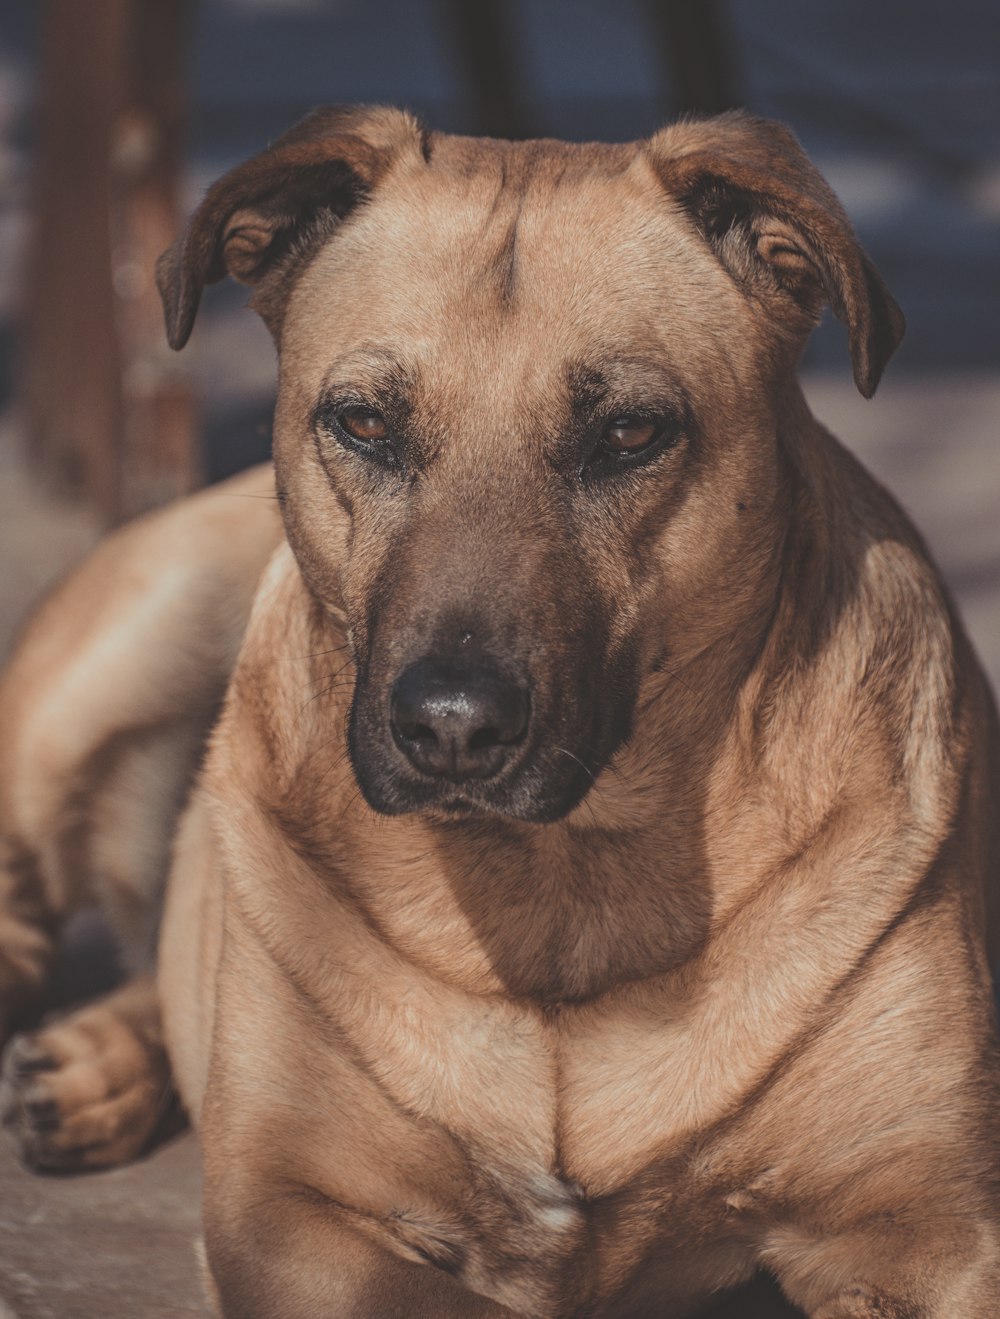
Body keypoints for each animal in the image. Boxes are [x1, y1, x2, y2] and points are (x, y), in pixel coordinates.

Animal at [1, 105, 1000, 1319]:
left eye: (629, 434)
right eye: (363, 422)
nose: (451, 727)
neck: (559, 888)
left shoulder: (930, 1232)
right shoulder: (289, 1220)